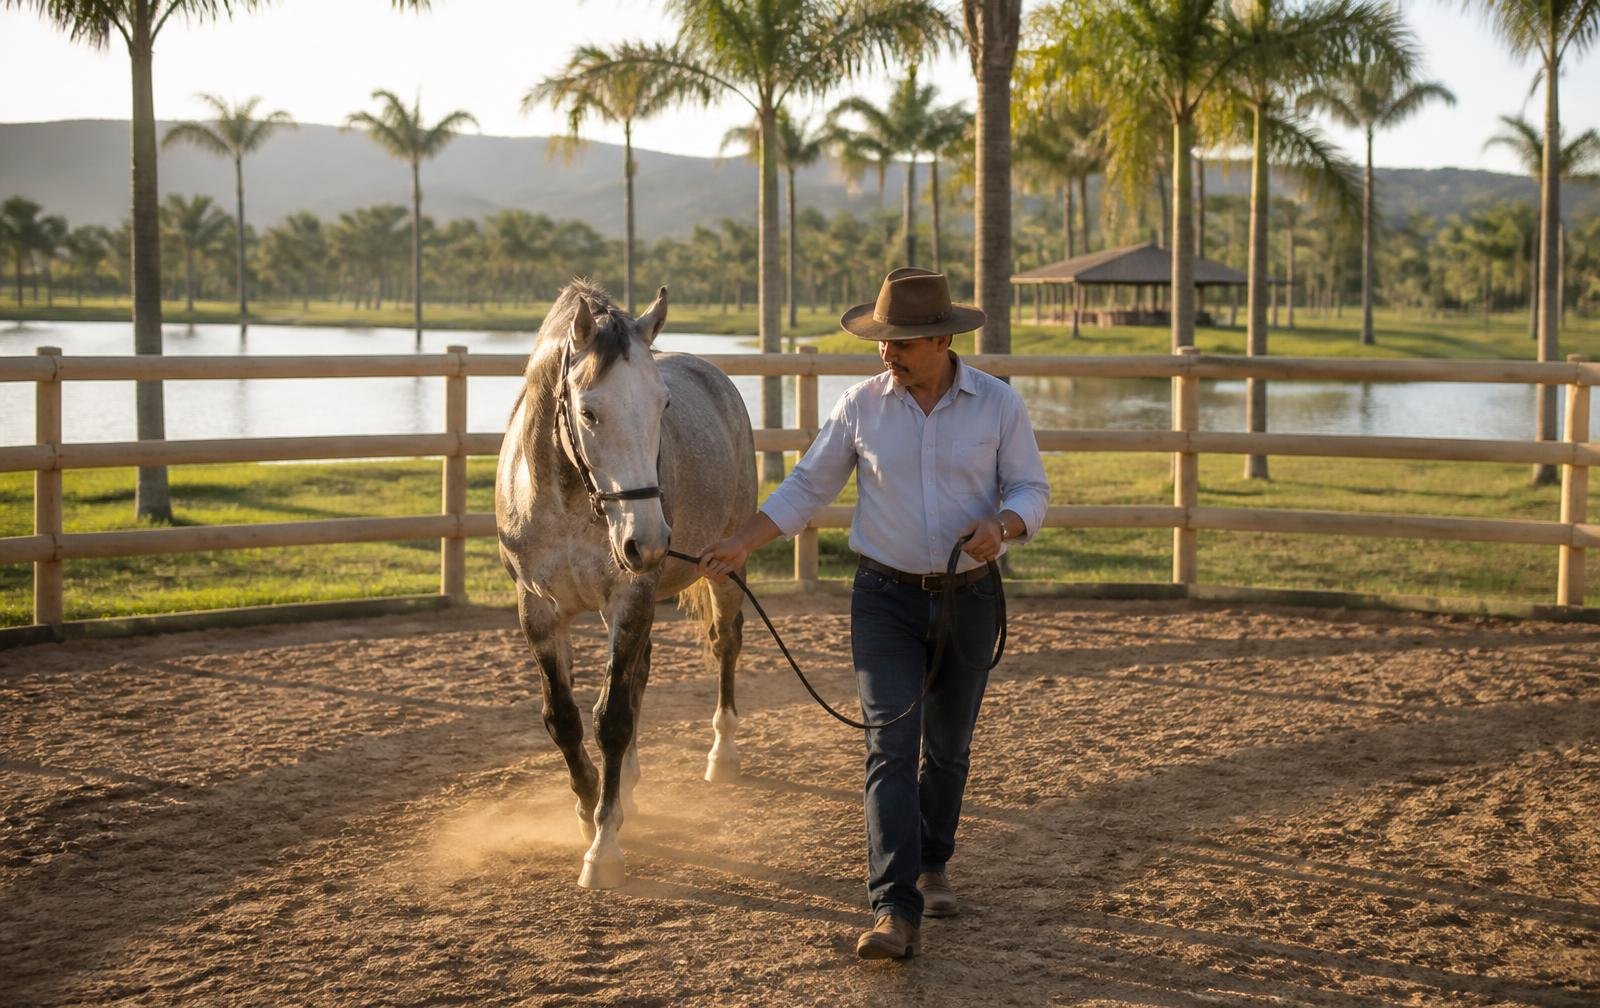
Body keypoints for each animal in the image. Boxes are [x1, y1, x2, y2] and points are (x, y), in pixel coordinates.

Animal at [495, 279, 756, 890]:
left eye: (663, 406)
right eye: (589, 412)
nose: (650, 540)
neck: (567, 501)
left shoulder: (629, 598)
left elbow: (611, 718)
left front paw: (604, 847)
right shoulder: (538, 611)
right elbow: (565, 719)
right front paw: (588, 807)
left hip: (726, 571)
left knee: (725, 647)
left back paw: (722, 755)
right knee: (640, 672)